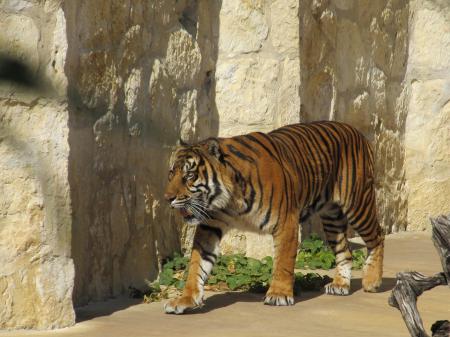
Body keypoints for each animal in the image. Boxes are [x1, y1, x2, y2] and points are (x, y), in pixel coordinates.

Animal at [162, 120, 384, 312]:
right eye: (171, 174)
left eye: (189, 176)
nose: (167, 198)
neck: (229, 201)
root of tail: (355, 130)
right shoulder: (210, 226)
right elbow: (197, 265)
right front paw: (186, 299)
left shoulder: (286, 222)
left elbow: (283, 261)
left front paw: (278, 294)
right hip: (332, 218)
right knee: (345, 251)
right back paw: (340, 285)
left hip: (358, 204)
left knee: (378, 235)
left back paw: (372, 281)